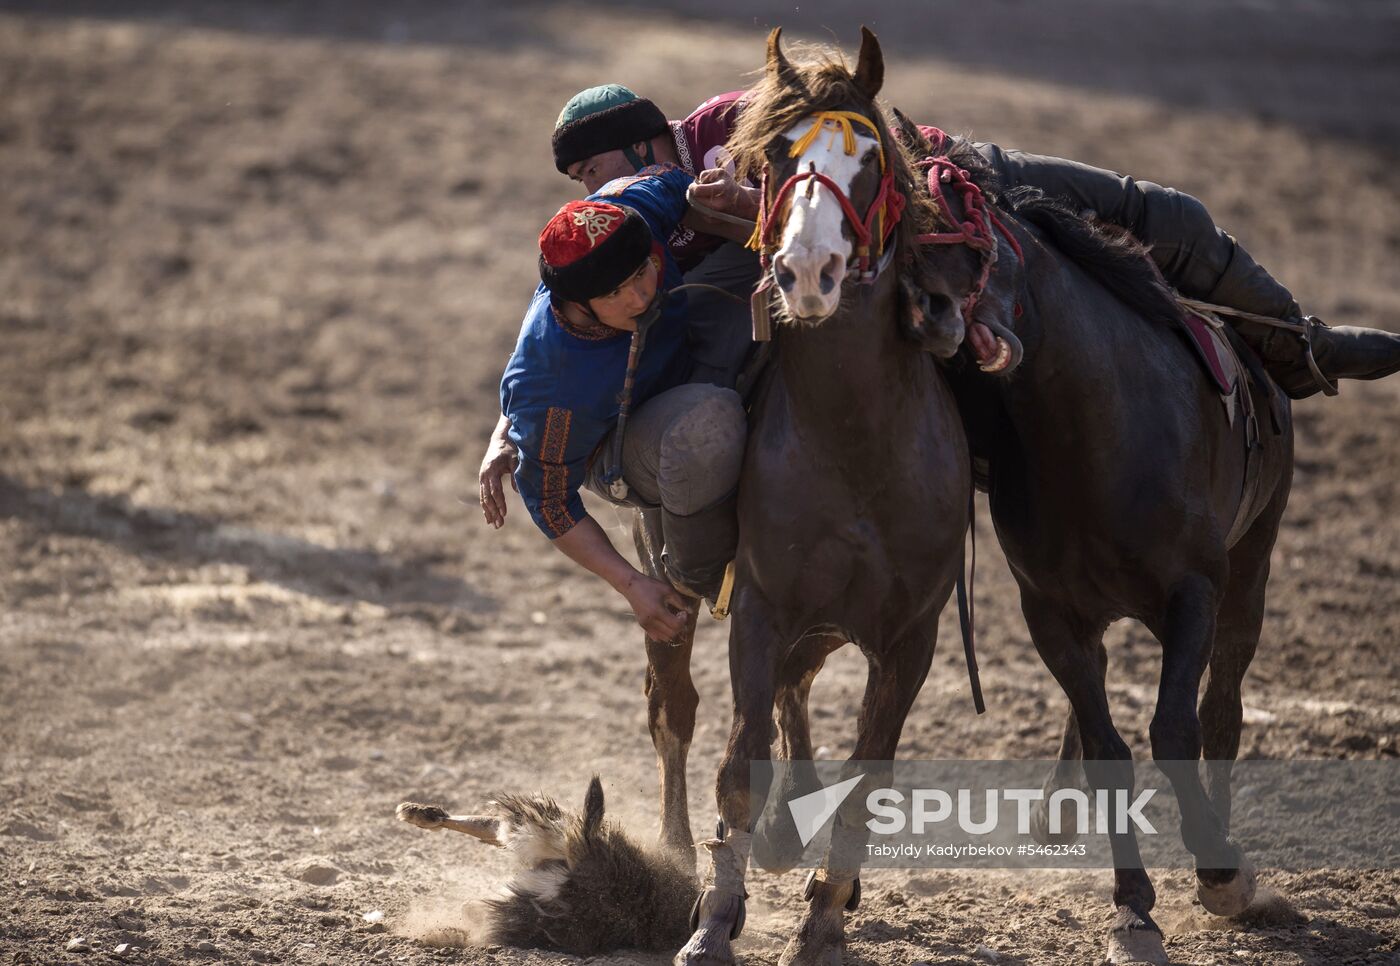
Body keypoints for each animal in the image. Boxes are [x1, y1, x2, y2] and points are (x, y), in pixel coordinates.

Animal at [677, 28, 974, 963]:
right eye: (776, 155)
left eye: (870, 162)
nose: (809, 269)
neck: (854, 442)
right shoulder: (763, 605)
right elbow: (740, 761)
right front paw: (716, 921)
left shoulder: (910, 637)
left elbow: (868, 777)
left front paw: (822, 919)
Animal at [890, 114, 1293, 957]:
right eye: (903, 238)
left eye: (972, 223)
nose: (931, 312)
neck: (1099, 439)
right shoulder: (1051, 610)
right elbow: (1109, 746)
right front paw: (1132, 904)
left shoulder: (1194, 592)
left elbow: (1177, 726)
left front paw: (1220, 874)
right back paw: (1058, 809)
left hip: (1254, 562)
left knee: (1225, 706)